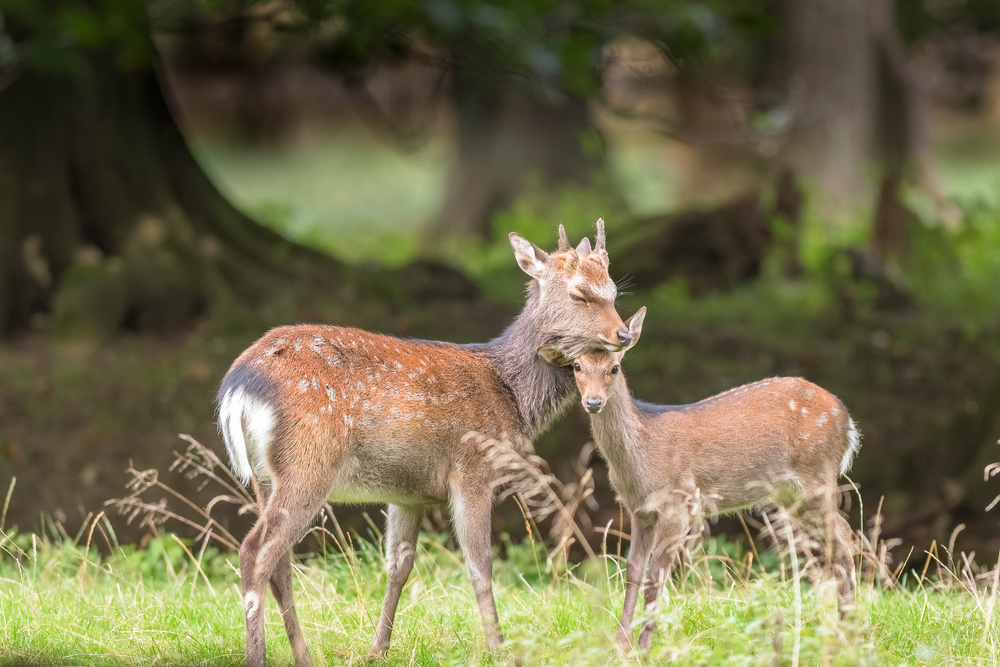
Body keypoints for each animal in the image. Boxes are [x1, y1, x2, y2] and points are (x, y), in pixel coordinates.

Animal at [217, 222, 632, 664]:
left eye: (613, 291)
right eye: (578, 293)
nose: (623, 334)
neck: (512, 395)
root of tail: (237, 388)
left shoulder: (408, 494)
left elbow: (398, 566)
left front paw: (378, 649)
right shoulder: (473, 470)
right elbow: (480, 563)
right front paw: (498, 647)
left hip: (263, 477)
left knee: (279, 562)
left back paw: (304, 656)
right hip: (308, 463)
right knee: (255, 551)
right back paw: (258, 656)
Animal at [548, 310, 860, 656]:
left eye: (614, 367)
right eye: (577, 366)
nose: (593, 401)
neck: (642, 460)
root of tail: (847, 421)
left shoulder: (678, 503)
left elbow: (656, 577)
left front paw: (644, 648)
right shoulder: (639, 511)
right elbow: (632, 572)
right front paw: (619, 646)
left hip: (817, 476)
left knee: (844, 539)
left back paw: (848, 634)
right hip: (792, 494)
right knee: (838, 540)